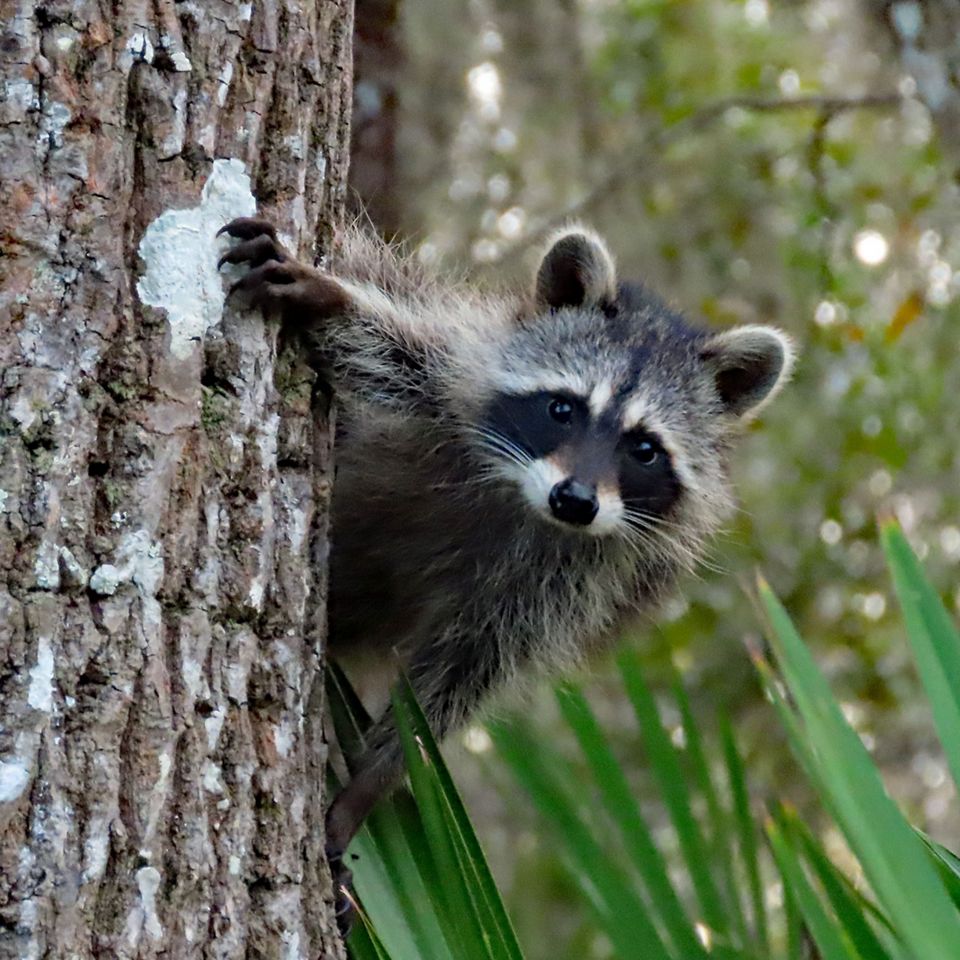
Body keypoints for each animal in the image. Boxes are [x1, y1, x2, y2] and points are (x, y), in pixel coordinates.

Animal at [218, 216, 796, 916]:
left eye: (645, 449)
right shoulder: (450, 374)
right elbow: (392, 352)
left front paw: (369, 784)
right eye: (563, 408)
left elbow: (464, 672)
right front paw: (333, 303)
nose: (575, 500)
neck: (521, 497)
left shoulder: (579, 577)